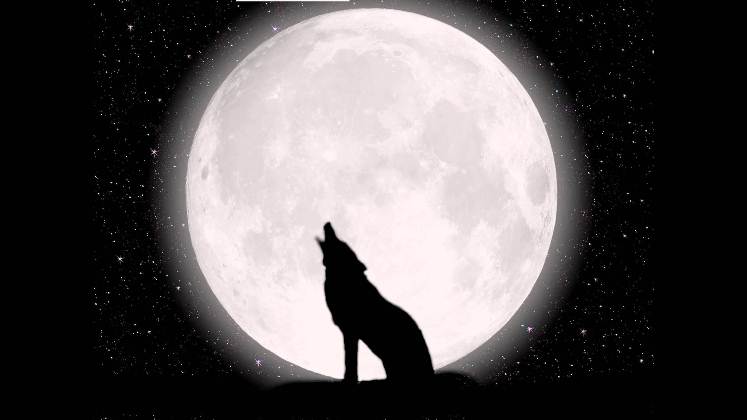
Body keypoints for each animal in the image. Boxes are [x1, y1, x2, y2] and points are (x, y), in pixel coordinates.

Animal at [315, 222, 434, 383]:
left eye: (341, 243)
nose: (328, 223)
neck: (344, 278)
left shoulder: (350, 331)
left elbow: (350, 361)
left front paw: (349, 380)